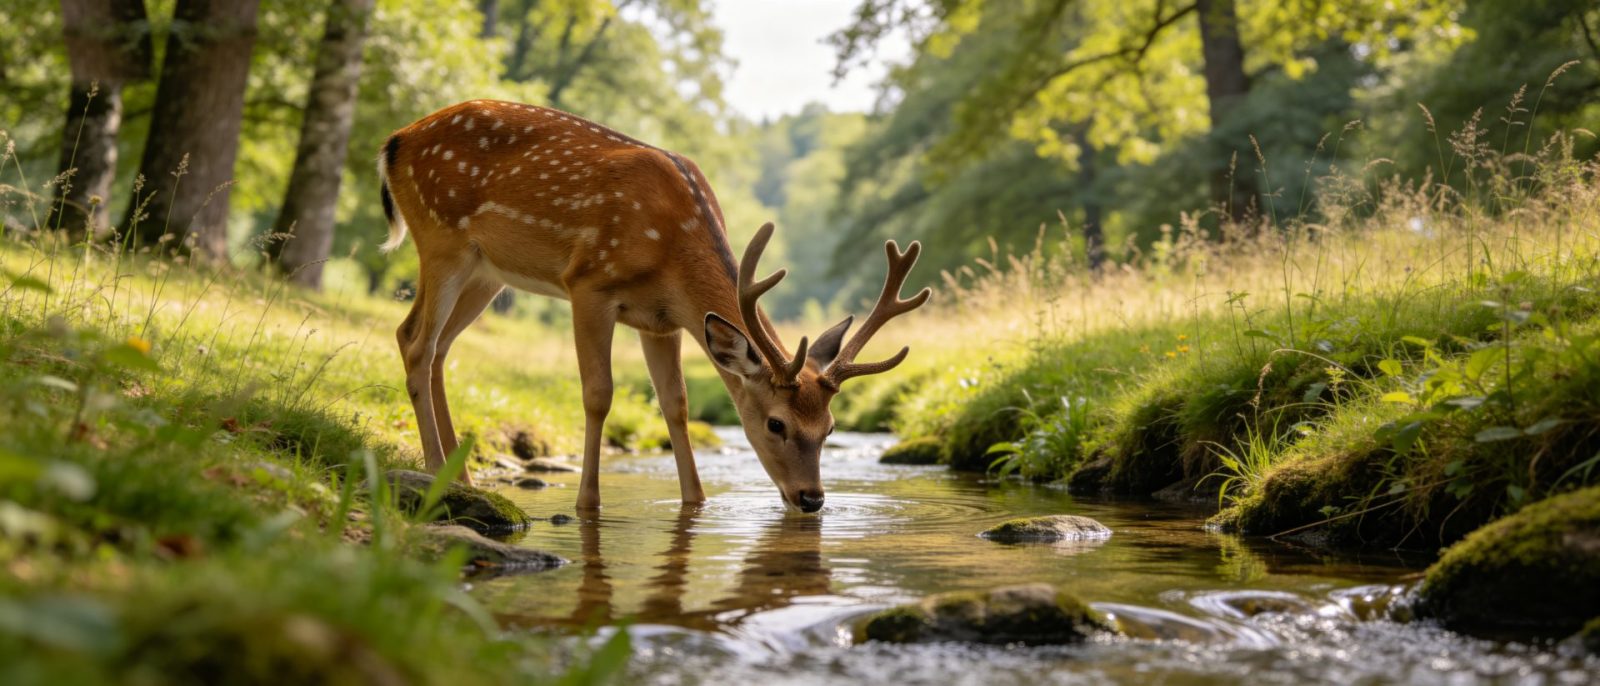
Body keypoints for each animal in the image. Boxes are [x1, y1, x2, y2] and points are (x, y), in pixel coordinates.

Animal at [377, 100, 929, 513]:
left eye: (830, 428)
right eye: (777, 424)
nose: (812, 499)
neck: (671, 251)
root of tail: (394, 142)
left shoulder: (661, 322)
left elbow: (675, 405)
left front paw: (696, 502)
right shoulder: (589, 283)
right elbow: (599, 395)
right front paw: (588, 503)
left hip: (486, 272)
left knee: (435, 344)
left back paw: (464, 477)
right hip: (441, 238)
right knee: (416, 341)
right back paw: (436, 471)